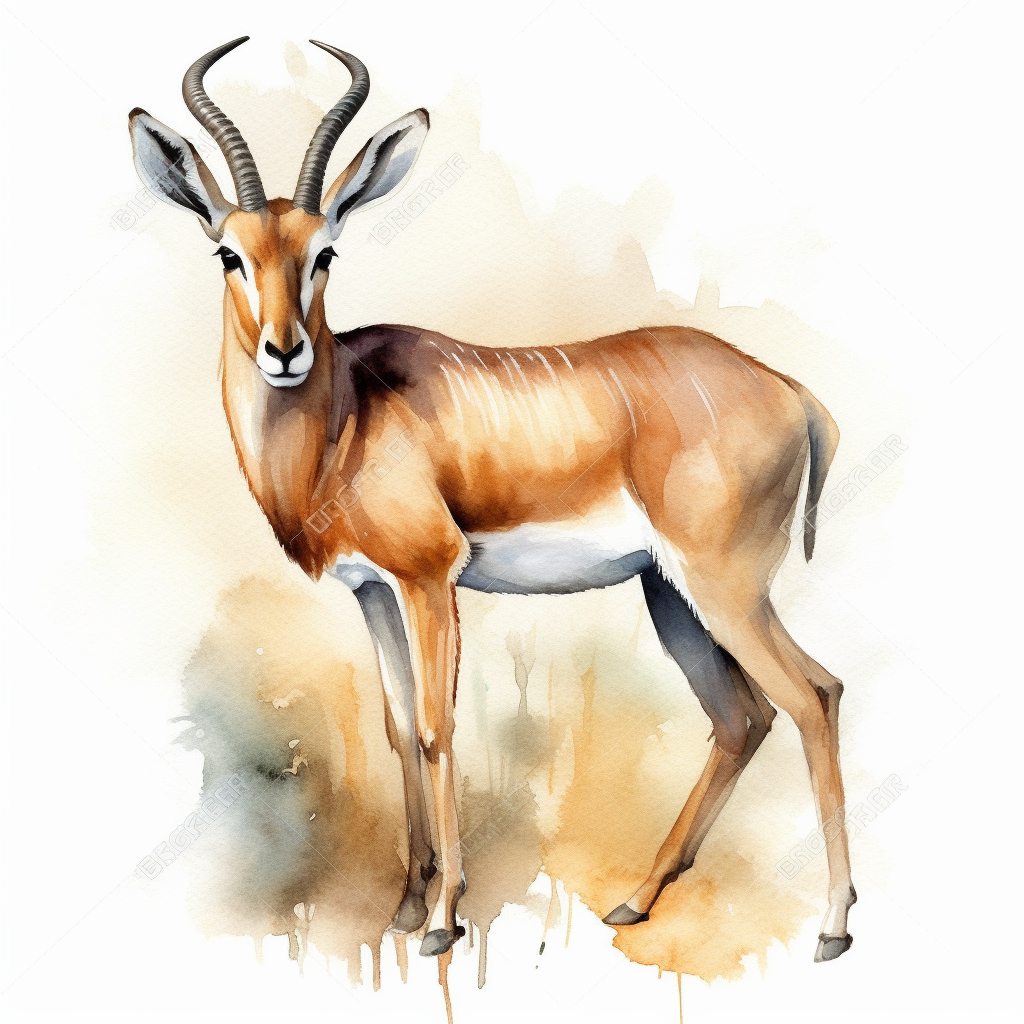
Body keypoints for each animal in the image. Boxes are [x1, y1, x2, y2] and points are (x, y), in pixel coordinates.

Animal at [129, 37, 857, 962]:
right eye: (229, 252)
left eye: (325, 252)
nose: (283, 351)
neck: (346, 417)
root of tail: (791, 390)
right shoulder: (373, 591)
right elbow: (400, 727)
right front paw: (405, 907)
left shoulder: (430, 579)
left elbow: (439, 728)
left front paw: (444, 918)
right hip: (670, 594)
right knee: (742, 718)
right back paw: (636, 901)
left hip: (725, 588)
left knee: (814, 695)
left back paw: (833, 925)